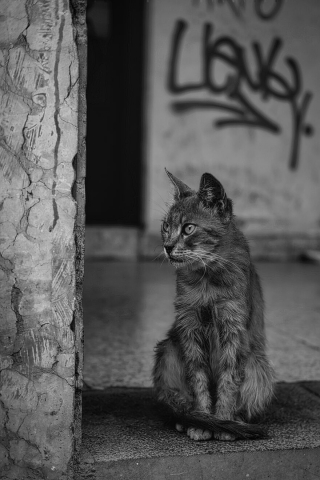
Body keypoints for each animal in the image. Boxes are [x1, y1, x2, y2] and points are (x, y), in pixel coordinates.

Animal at [152, 171, 276, 440]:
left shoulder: (233, 328)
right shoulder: (189, 327)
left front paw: (223, 420)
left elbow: (228, 380)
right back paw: (187, 418)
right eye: (166, 226)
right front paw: (204, 420)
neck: (206, 279)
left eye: (188, 228)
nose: (167, 247)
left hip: (258, 366)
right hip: (168, 349)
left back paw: (235, 421)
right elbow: (198, 379)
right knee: (178, 401)